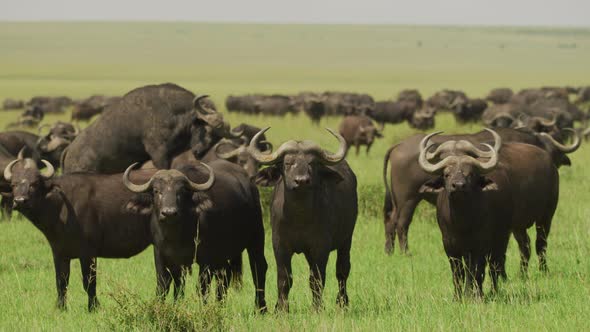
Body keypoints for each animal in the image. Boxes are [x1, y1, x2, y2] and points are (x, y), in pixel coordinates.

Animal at [2, 157, 155, 310]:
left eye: (34, 184)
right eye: (14, 184)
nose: (19, 201)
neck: (61, 207)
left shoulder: (88, 253)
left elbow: (89, 282)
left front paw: (93, 307)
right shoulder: (59, 253)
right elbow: (61, 282)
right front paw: (61, 307)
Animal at [125, 161, 268, 312]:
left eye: (181, 192)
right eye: (156, 191)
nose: (169, 213)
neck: (177, 236)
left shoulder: (206, 258)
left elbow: (202, 288)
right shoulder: (162, 255)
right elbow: (166, 286)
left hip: (256, 237)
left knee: (258, 268)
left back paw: (260, 308)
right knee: (225, 275)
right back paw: (220, 305)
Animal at [252, 127, 358, 312]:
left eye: (312, 163)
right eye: (287, 163)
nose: (301, 181)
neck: (299, 217)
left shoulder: (320, 246)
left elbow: (317, 279)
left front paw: (317, 308)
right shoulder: (280, 245)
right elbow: (284, 278)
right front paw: (281, 309)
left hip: (346, 240)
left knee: (342, 271)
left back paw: (342, 302)